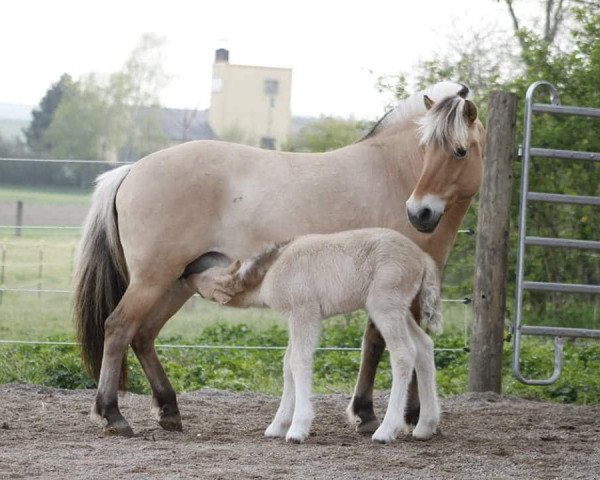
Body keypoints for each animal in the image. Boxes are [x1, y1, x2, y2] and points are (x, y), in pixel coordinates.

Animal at [186, 228, 440, 442]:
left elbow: (299, 362)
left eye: (207, 277)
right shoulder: (293, 316)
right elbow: (287, 364)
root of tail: (422, 257)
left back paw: (386, 431)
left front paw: (297, 428)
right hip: (400, 311)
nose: (186, 276)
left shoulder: (305, 312)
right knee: (424, 346)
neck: (273, 269)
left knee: (404, 354)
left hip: (385, 308)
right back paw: (425, 426)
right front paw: (278, 426)